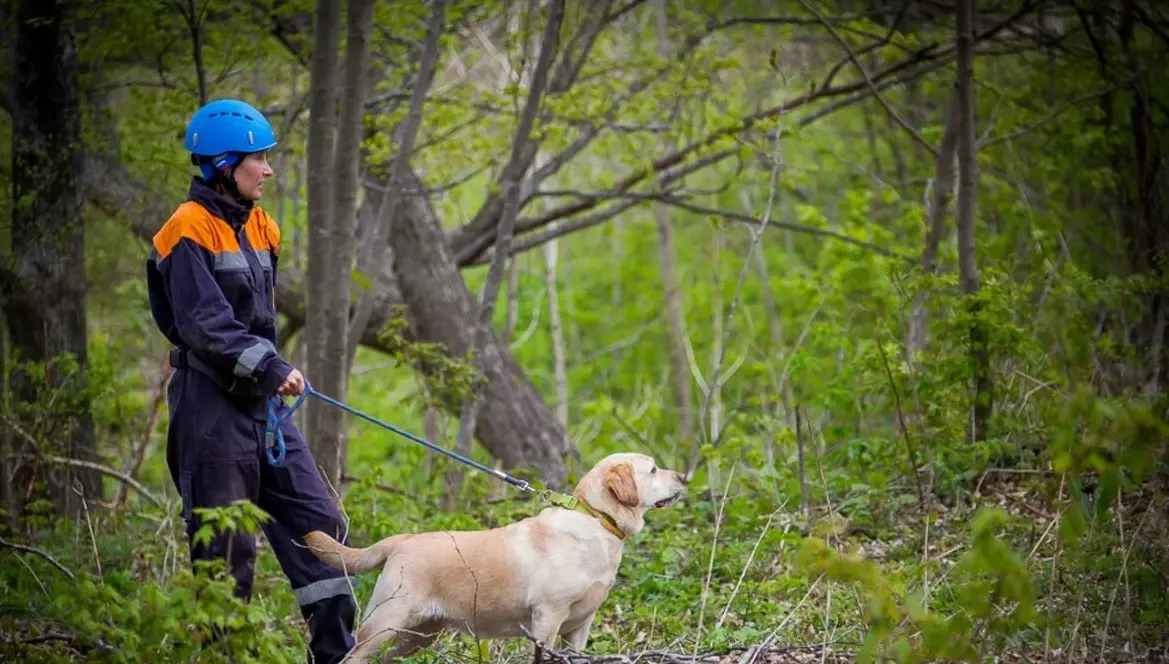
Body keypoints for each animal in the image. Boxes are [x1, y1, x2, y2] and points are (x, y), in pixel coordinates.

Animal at [303, 453, 682, 659]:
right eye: (652, 470)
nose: (682, 476)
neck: (596, 519)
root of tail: (403, 540)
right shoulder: (547, 619)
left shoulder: (579, 627)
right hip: (384, 624)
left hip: (417, 636)